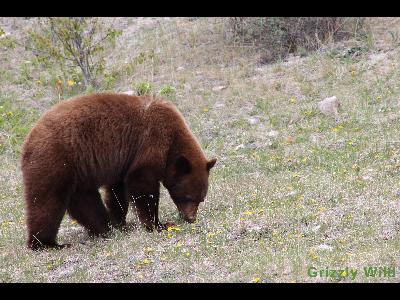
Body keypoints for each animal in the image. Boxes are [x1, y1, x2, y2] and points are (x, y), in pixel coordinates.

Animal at [21, 92, 216, 250]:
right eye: (188, 197)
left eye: (201, 198)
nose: (191, 218)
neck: (173, 141)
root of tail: (29, 139)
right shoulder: (152, 141)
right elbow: (142, 183)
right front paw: (158, 224)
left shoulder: (123, 161)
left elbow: (117, 191)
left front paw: (120, 222)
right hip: (55, 160)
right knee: (46, 202)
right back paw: (47, 243)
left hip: (78, 172)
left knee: (85, 201)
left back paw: (105, 228)